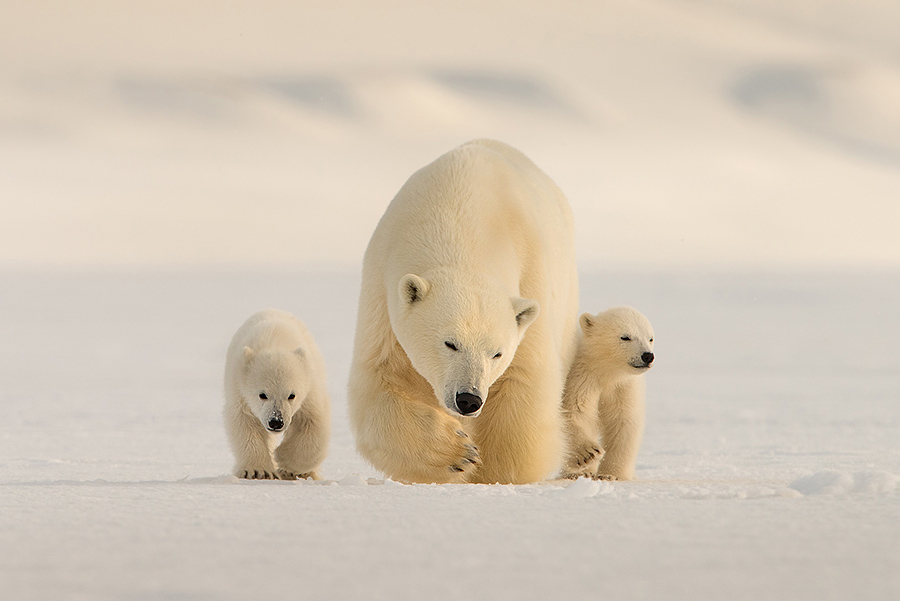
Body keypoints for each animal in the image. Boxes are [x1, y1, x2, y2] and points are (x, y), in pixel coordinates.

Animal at [223, 309, 331, 480]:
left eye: (292, 395)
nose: (276, 422)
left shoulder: (310, 387)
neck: (275, 343)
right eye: (262, 394)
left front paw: (286, 463)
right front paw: (258, 471)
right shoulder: (239, 388)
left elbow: (313, 422)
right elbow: (244, 423)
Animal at [348, 139, 579, 484]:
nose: (469, 399)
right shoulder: (382, 283)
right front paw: (457, 453)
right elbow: (383, 376)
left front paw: (492, 472)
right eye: (449, 343)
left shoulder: (531, 275)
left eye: (497, 353)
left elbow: (524, 377)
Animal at [560, 306, 655, 481]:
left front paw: (611, 474)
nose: (647, 356)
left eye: (650, 338)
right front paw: (587, 456)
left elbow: (623, 423)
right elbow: (576, 412)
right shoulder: (581, 379)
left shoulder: (623, 388)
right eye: (625, 337)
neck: (607, 373)